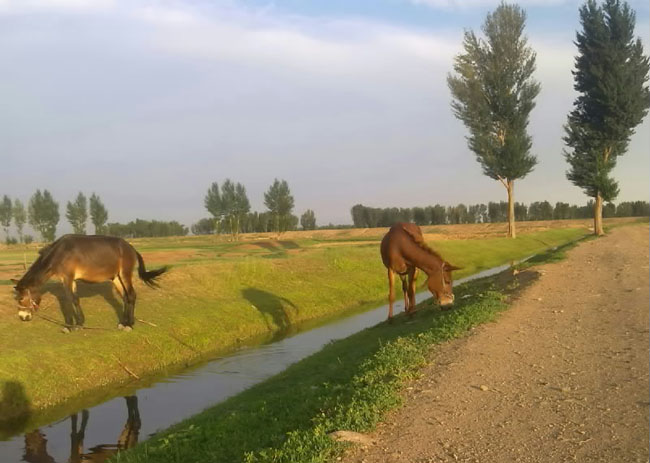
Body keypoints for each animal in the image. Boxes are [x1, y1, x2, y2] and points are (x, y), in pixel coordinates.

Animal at [11, 237, 167, 332]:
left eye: (21, 298)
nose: (22, 317)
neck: (60, 253)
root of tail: (131, 248)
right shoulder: (70, 280)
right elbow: (74, 300)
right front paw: (77, 323)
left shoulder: (67, 278)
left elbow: (71, 300)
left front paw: (72, 326)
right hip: (116, 278)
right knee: (125, 297)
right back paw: (123, 323)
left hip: (125, 275)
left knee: (131, 296)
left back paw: (129, 324)